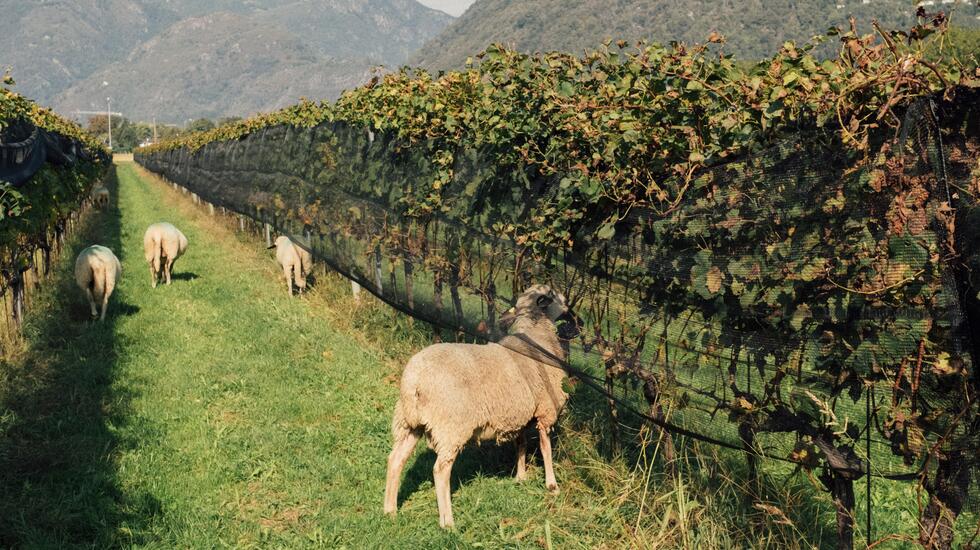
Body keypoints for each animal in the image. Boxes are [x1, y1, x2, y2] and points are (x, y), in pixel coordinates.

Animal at [384, 284, 580, 532]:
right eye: (556, 297)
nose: (577, 319)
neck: (537, 337)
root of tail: (413, 380)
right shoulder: (546, 410)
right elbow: (546, 449)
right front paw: (552, 485)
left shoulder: (520, 415)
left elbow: (521, 444)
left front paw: (521, 477)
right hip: (450, 426)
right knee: (440, 470)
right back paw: (447, 522)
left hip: (410, 423)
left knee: (395, 459)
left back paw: (390, 510)